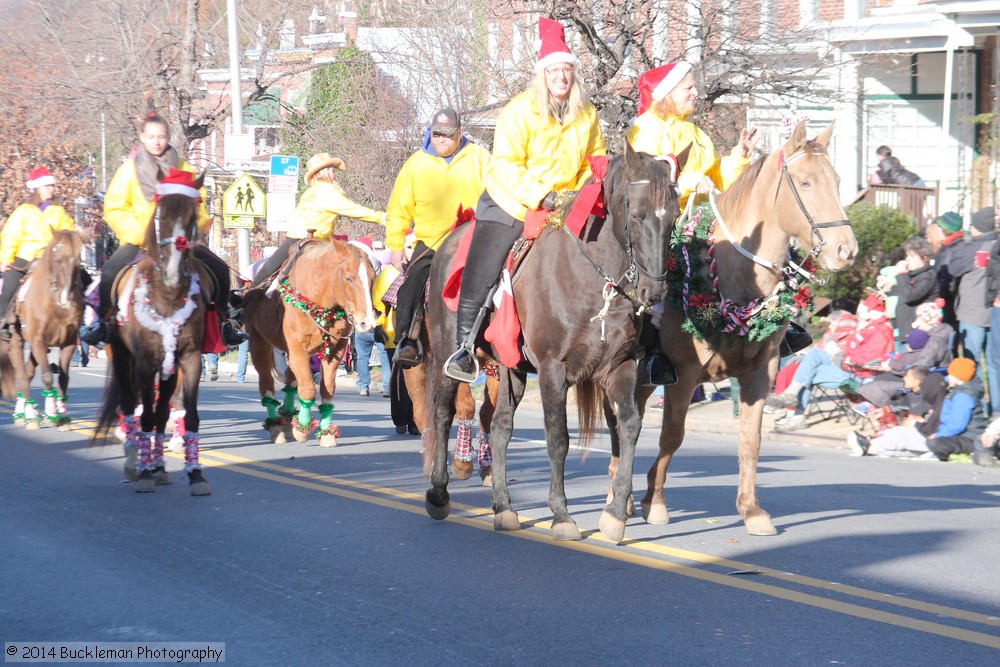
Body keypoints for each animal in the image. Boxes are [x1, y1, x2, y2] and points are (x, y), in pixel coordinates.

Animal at [7, 230, 85, 428]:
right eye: (57, 258)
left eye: (78, 260)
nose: (65, 298)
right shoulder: (37, 341)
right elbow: (48, 376)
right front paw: (51, 415)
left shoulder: (69, 343)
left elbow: (63, 379)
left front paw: (62, 417)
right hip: (17, 340)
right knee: (21, 375)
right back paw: (29, 416)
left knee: (27, 374)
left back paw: (25, 412)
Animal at [92, 177, 213, 496]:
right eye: (159, 216)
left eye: (193, 218)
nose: (172, 270)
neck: (167, 295)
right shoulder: (144, 363)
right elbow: (144, 413)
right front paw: (144, 474)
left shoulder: (190, 358)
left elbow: (187, 415)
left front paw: (196, 475)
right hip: (123, 359)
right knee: (129, 405)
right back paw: (135, 463)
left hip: (168, 367)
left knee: (160, 413)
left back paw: (158, 467)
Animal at [243, 237, 378, 446]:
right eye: (348, 278)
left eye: (373, 278)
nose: (367, 323)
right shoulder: (298, 349)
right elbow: (307, 388)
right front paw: (303, 429)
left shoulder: (335, 351)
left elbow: (327, 389)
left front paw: (326, 433)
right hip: (260, 345)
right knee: (267, 385)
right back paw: (276, 427)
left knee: (290, 381)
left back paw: (287, 419)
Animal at [422, 145, 688, 544]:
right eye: (636, 214)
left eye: (674, 215)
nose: (654, 292)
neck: (596, 282)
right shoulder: (553, 371)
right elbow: (558, 439)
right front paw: (561, 514)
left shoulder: (621, 367)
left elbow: (629, 427)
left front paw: (615, 514)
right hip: (446, 353)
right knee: (442, 412)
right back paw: (438, 492)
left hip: (511, 367)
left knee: (500, 428)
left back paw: (504, 507)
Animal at [608, 121, 860, 536]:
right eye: (805, 182)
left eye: (837, 181)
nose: (845, 250)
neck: (730, 276)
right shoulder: (684, 375)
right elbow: (671, 436)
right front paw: (654, 501)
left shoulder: (761, 373)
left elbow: (751, 440)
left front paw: (751, 509)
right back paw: (619, 495)